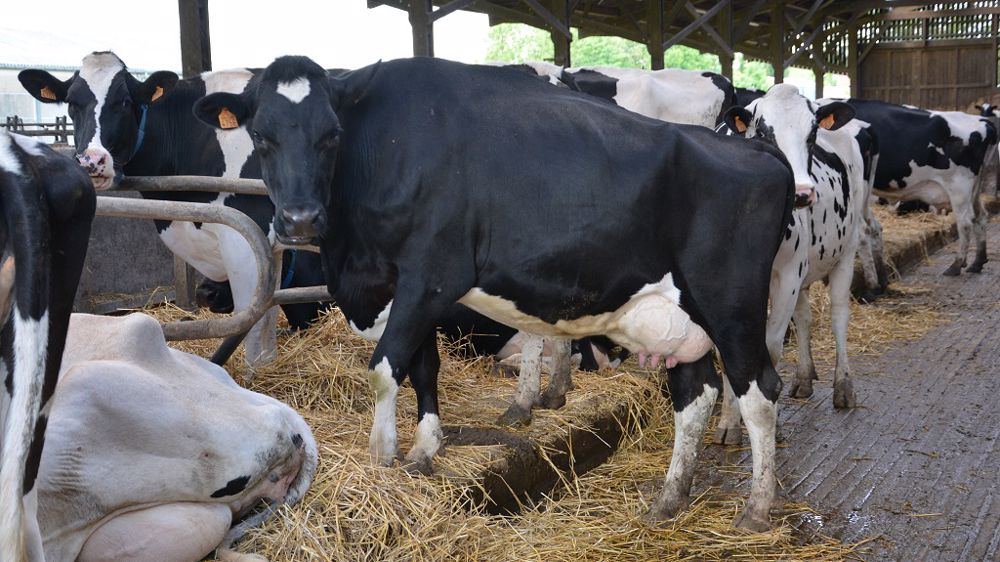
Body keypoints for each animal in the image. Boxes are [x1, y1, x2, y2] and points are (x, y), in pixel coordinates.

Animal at [18, 52, 332, 368]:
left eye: (124, 101)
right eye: (72, 102)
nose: (91, 161)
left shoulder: (249, 237)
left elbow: (255, 319)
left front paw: (257, 370)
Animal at [193, 55, 797, 530]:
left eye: (331, 135)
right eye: (261, 136)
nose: (298, 220)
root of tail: (758, 152)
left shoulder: (433, 273)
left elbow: (385, 367)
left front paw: (383, 456)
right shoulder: (406, 287)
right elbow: (423, 366)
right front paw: (424, 451)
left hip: (730, 303)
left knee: (759, 391)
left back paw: (757, 509)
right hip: (678, 318)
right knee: (695, 394)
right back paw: (669, 500)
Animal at [818, 97, 998, 276]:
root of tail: (983, 121)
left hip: (959, 187)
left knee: (965, 223)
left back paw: (956, 265)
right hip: (974, 188)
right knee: (981, 215)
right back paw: (977, 262)